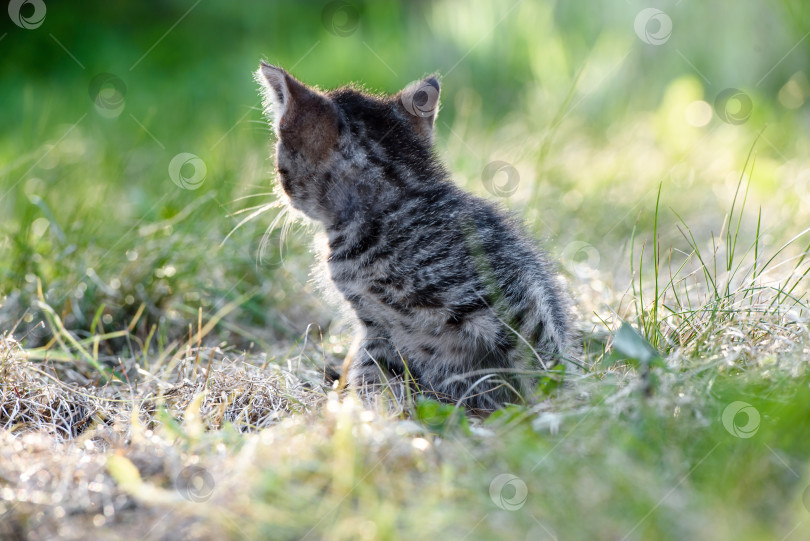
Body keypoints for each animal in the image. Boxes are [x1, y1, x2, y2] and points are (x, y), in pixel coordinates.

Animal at [256, 62, 572, 410]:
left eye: (279, 167)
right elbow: (375, 374)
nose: (280, 191)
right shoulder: (380, 329)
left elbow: (537, 354)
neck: (395, 205)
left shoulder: (509, 295)